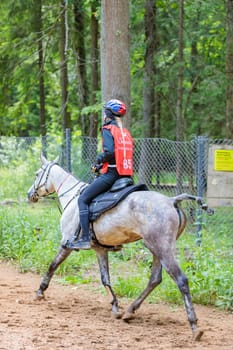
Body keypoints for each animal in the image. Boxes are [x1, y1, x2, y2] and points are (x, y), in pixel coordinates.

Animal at [26, 154, 213, 340]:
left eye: (37, 174)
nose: (29, 194)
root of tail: (171, 200)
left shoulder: (66, 244)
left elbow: (53, 265)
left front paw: (40, 291)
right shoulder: (100, 250)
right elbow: (105, 279)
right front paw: (115, 307)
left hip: (162, 249)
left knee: (181, 280)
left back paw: (194, 326)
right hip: (156, 249)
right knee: (155, 279)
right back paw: (130, 311)